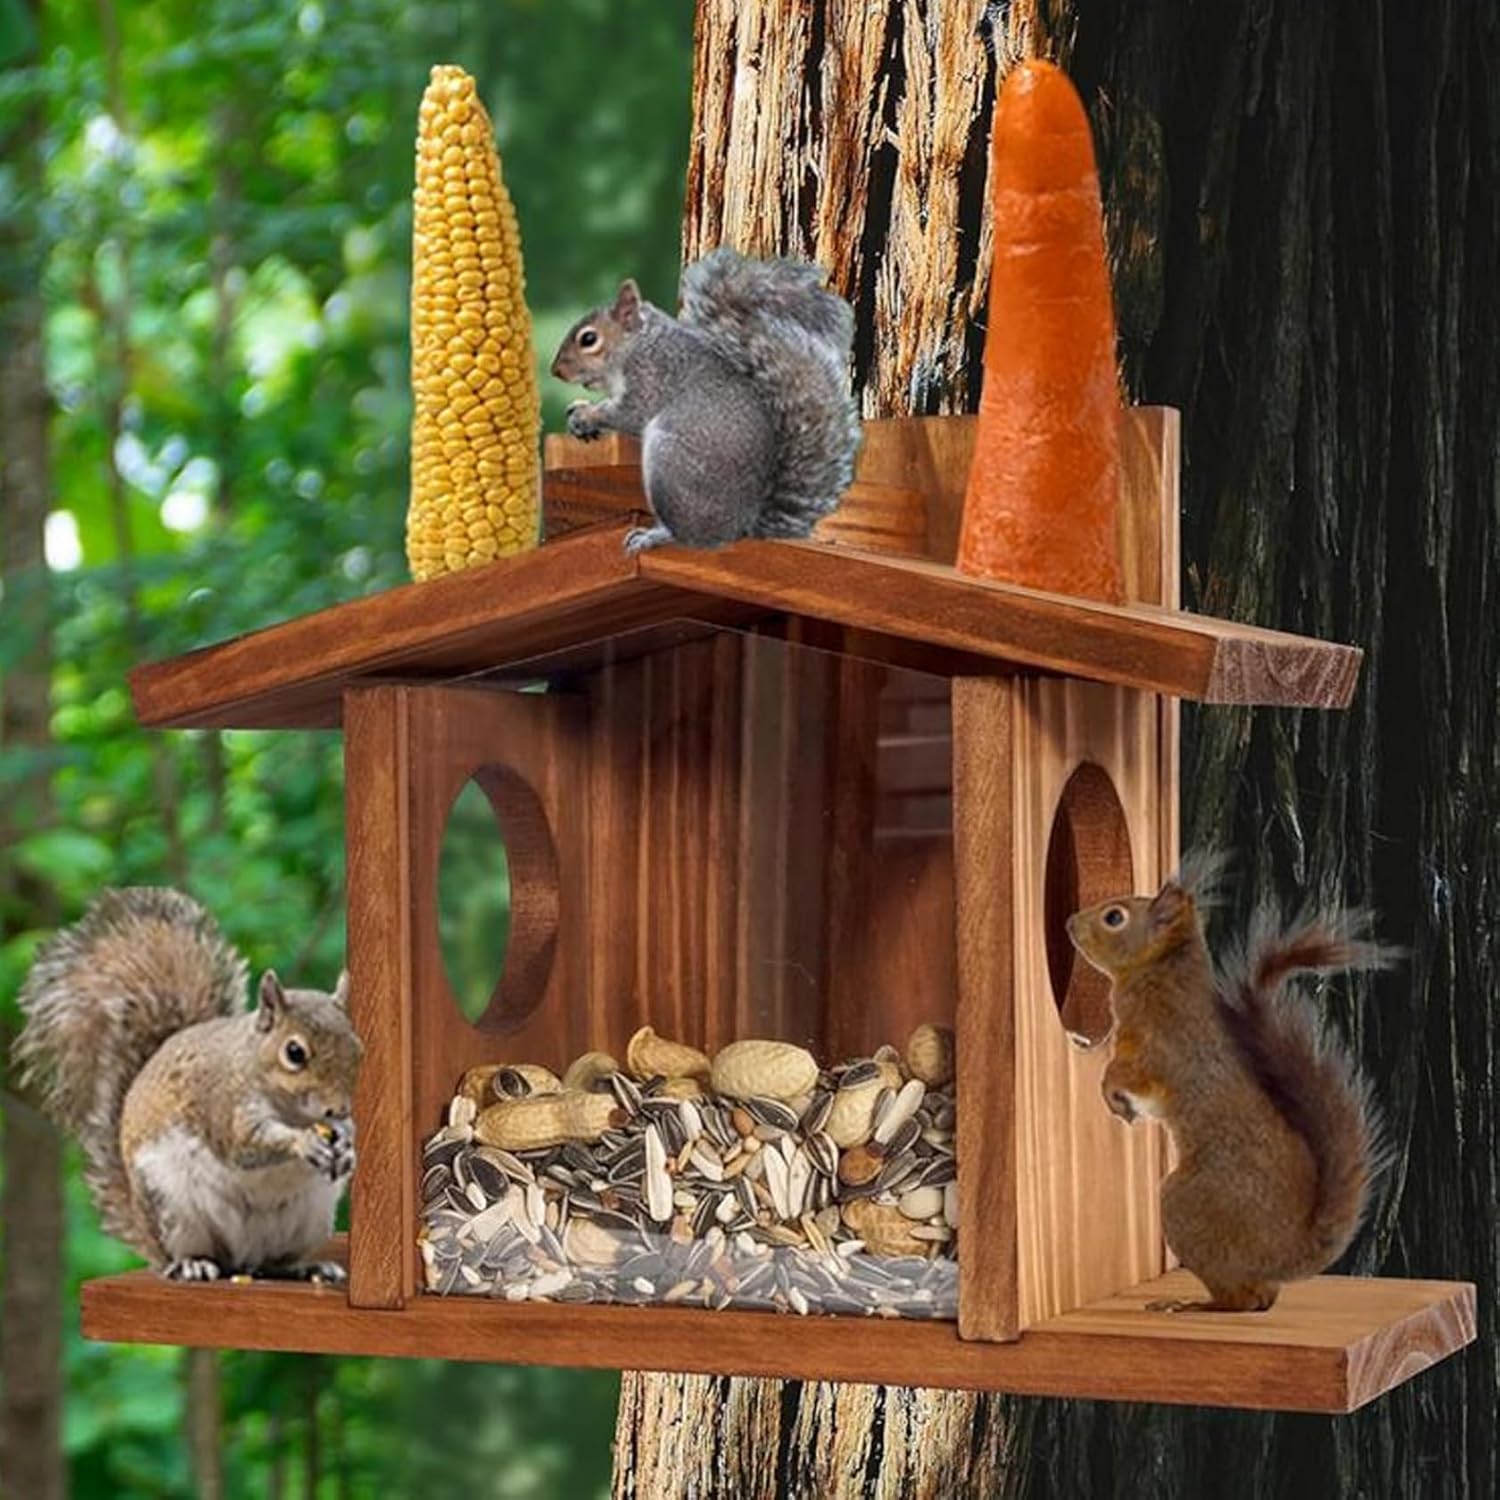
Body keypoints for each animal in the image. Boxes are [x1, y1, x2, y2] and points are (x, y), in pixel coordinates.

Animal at [12, 887, 363, 1284]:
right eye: (294, 1052)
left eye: (358, 1048)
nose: (338, 1108)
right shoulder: (224, 1105)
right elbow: (247, 1144)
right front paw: (303, 1143)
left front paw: (348, 1147)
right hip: (171, 1209)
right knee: (192, 1254)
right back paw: (193, 1263)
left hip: (309, 1218)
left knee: (272, 1263)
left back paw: (307, 1267)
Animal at [550, 246, 862, 555]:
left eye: (588, 339)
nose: (556, 371)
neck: (637, 344)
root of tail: (741, 526)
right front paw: (579, 409)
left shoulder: (652, 376)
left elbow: (630, 413)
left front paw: (587, 416)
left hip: (670, 462)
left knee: (691, 536)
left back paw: (655, 536)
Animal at [1066, 864, 1391, 1313]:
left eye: (1115, 917)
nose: (1068, 923)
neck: (1162, 971)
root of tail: (1286, 1253)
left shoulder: (1158, 1047)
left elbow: (1128, 1074)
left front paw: (1110, 1092)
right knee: (1262, 1298)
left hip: (1189, 1208)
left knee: (1241, 1299)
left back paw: (1195, 1305)